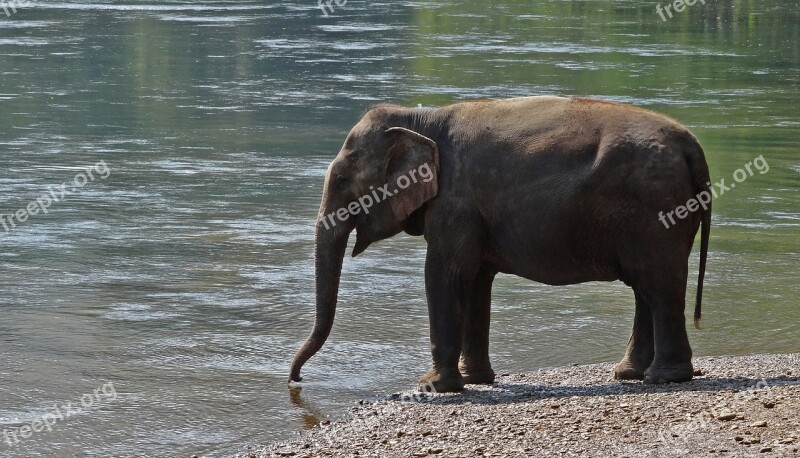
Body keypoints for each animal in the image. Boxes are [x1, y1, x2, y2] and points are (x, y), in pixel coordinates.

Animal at [290, 95, 712, 392]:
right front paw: (475, 379)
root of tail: (693, 146)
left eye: (342, 180)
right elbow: (476, 279)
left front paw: (434, 386)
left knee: (658, 282)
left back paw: (663, 378)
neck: (421, 118)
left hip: (656, 210)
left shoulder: (456, 201)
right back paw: (630, 374)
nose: (295, 380)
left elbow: (444, 273)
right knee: (646, 286)